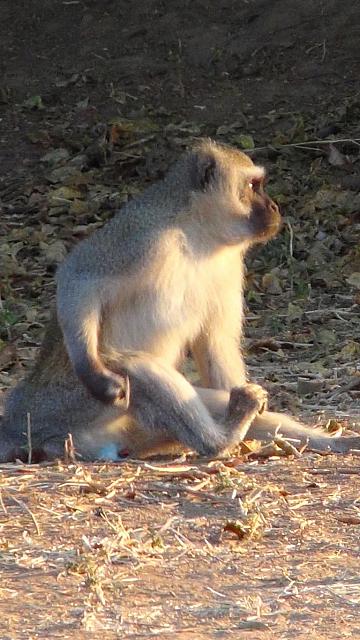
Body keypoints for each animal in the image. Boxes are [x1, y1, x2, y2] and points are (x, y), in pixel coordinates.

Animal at [0, 140, 360, 460]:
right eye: (253, 185)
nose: (274, 207)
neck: (197, 232)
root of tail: (15, 422)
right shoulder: (142, 236)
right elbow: (79, 277)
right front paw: (95, 373)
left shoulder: (230, 265)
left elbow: (215, 343)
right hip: (59, 410)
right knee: (135, 367)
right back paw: (219, 441)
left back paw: (327, 440)